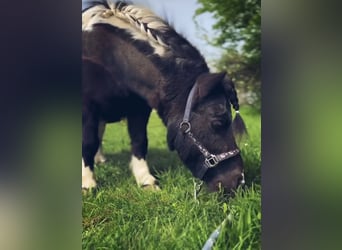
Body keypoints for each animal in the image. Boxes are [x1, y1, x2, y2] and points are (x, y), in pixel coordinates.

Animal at [82, 0, 248, 192]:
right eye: (218, 122)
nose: (240, 180)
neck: (108, 54)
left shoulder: (139, 108)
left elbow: (139, 140)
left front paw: (146, 180)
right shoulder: (87, 107)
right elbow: (88, 142)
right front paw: (87, 183)